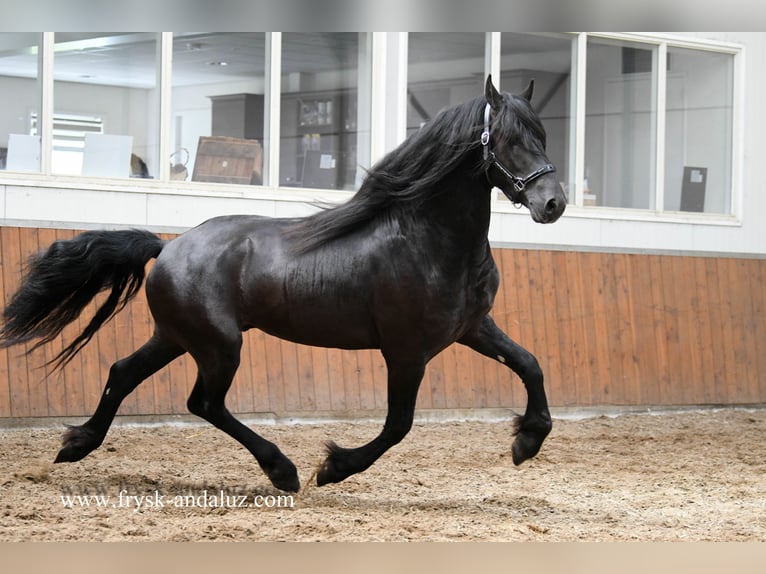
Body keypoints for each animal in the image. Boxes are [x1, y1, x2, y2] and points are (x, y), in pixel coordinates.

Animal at [0, 76, 566, 492]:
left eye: (542, 137)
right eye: (511, 141)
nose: (553, 204)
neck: (429, 239)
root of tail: (168, 247)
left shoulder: (472, 328)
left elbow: (531, 365)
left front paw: (526, 442)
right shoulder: (407, 351)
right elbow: (398, 425)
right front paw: (332, 468)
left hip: (177, 337)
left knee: (123, 372)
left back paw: (75, 445)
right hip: (218, 344)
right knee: (203, 403)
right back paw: (283, 471)